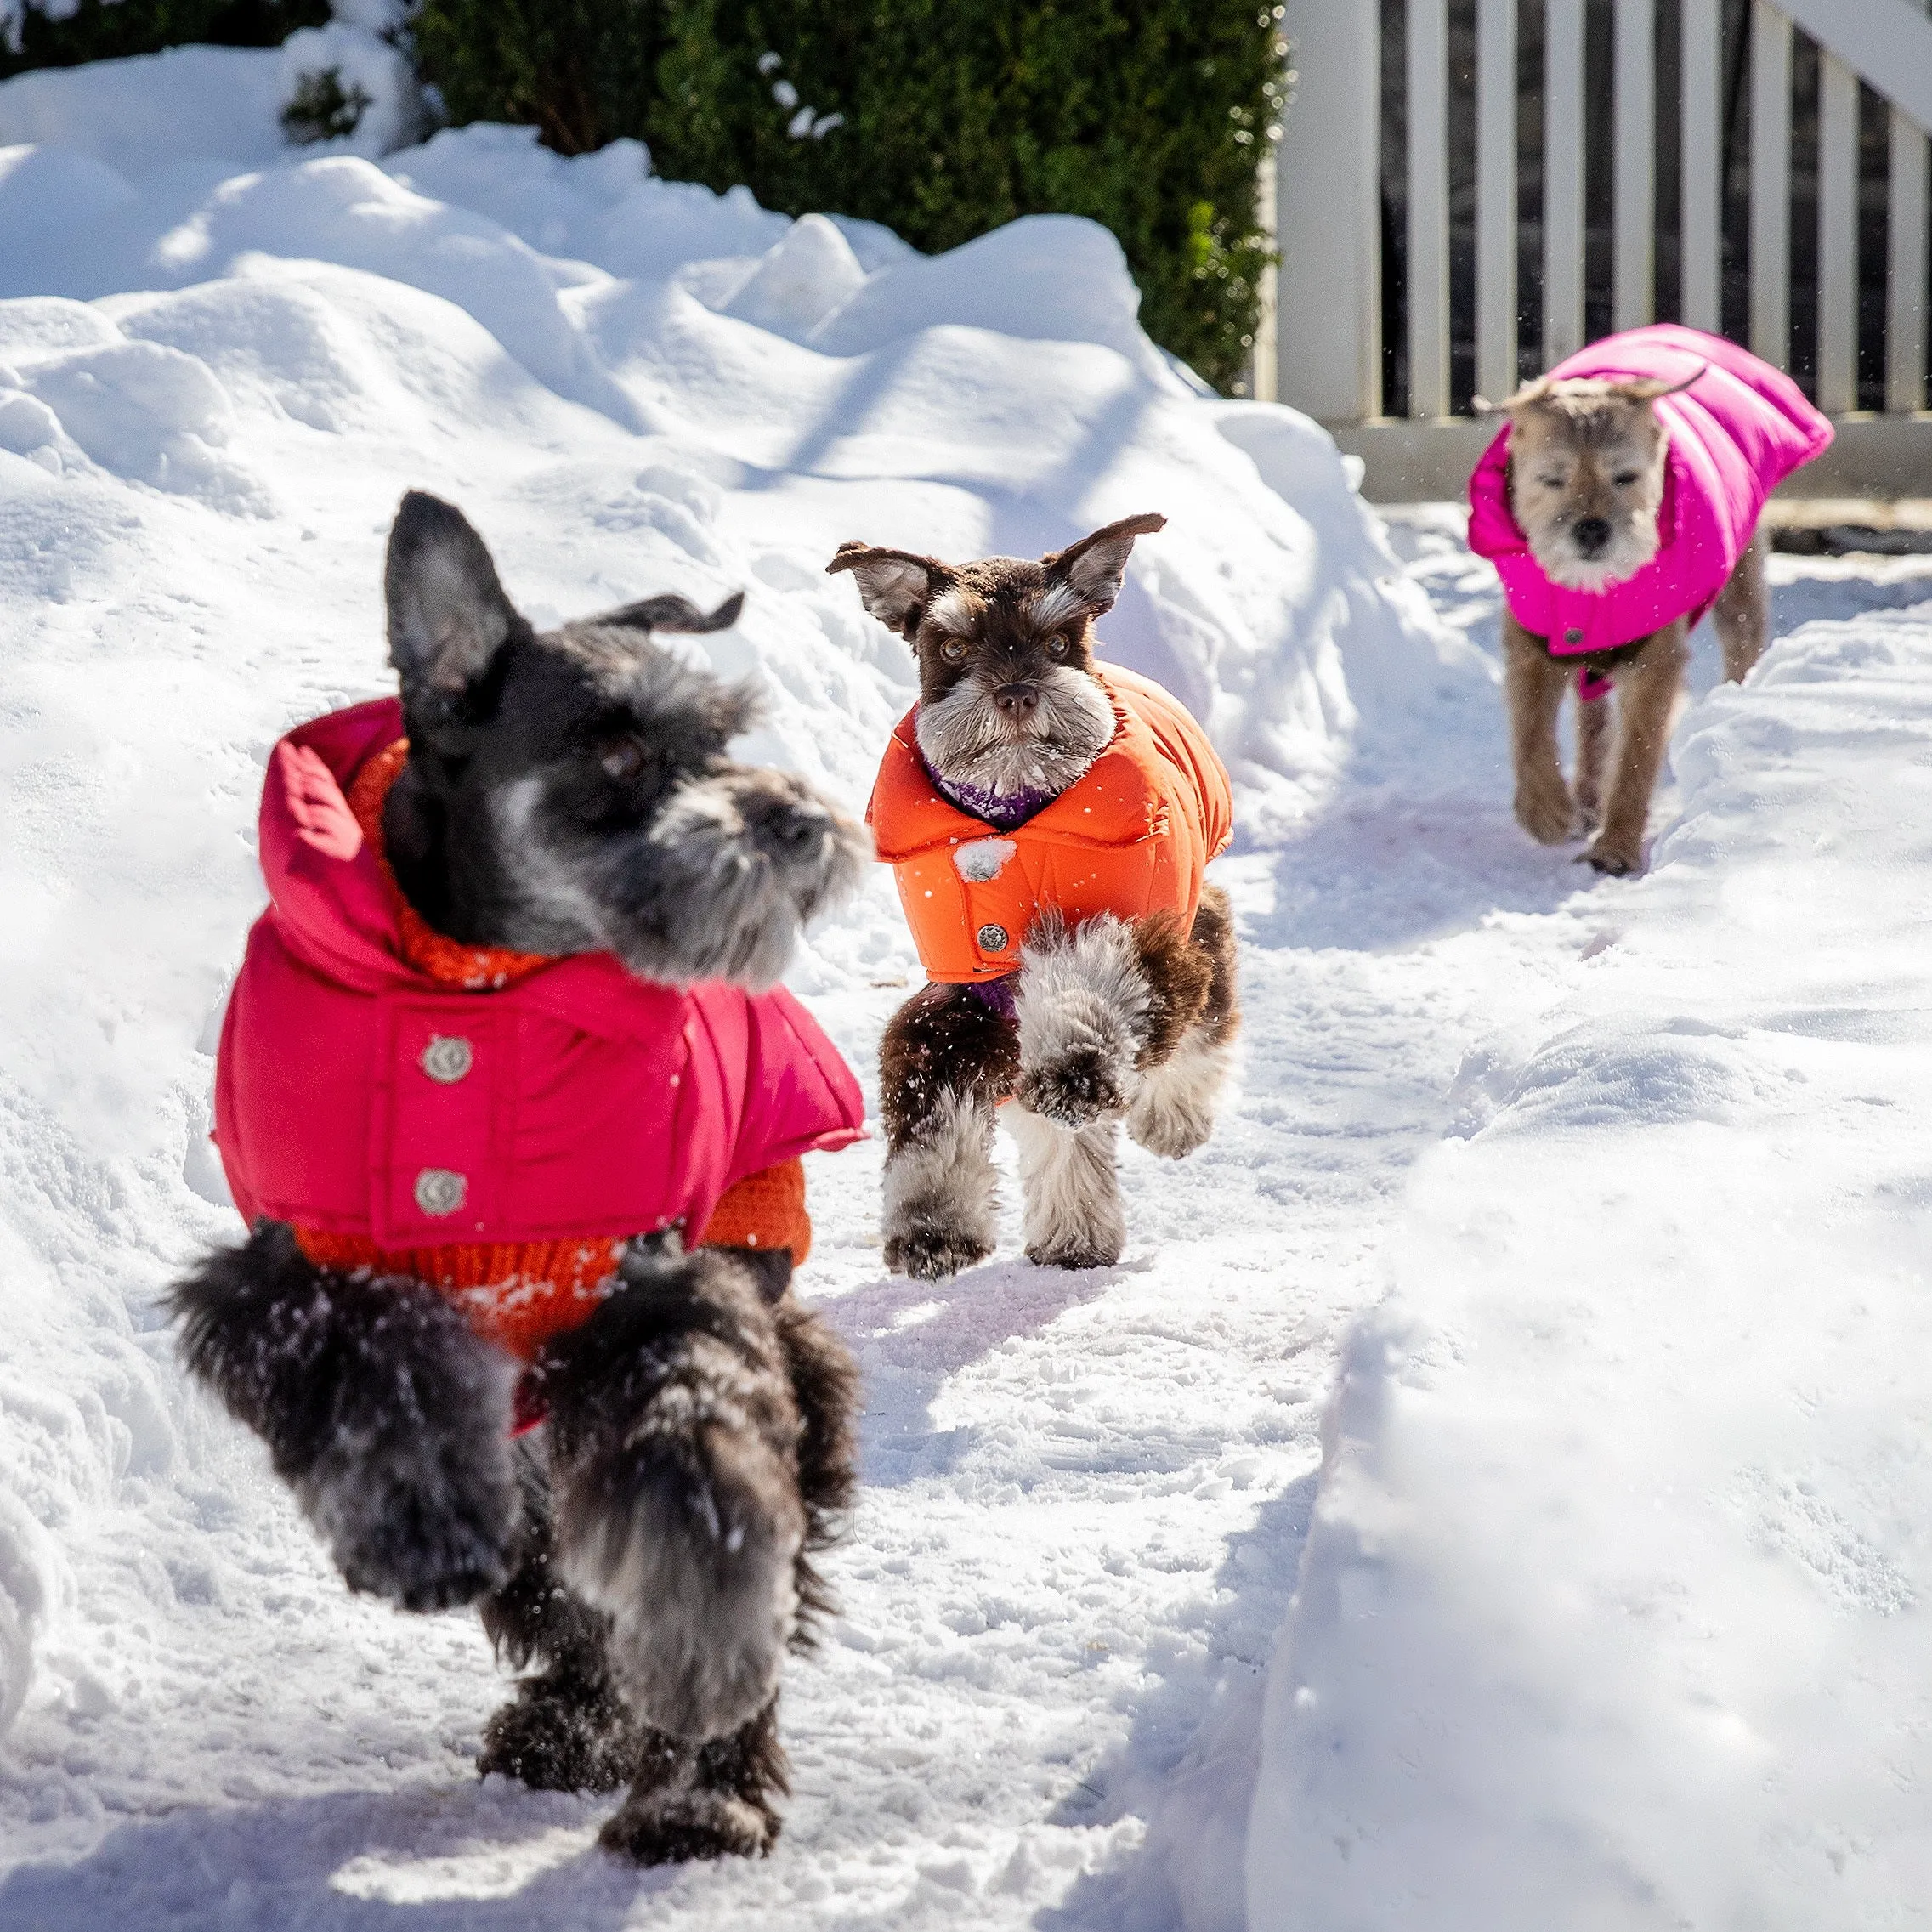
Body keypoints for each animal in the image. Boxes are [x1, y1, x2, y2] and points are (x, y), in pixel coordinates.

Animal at [173, 490, 869, 1862]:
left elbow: (696, 1478)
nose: (800, 827)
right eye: (617, 750)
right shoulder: (287, 1278)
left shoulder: (658, 1286)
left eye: (720, 739)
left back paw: (700, 1790)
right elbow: (375, 1366)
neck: (476, 991)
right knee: (551, 1579)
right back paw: (567, 1725)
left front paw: (701, 1667)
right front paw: (423, 1527)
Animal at [830, 513, 1236, 1283]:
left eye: (1056, 642)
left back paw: (1168, 1119)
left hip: (1197, 924)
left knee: (1203, 1021)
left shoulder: (1136, 936)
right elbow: (931, 1111)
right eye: (952, 645)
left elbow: (1090, 983)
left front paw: (1073, 1069)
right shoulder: (958, 996)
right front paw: (931, 1227)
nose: (1017, 693)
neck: (1012, 816)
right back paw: (1074, 1232)